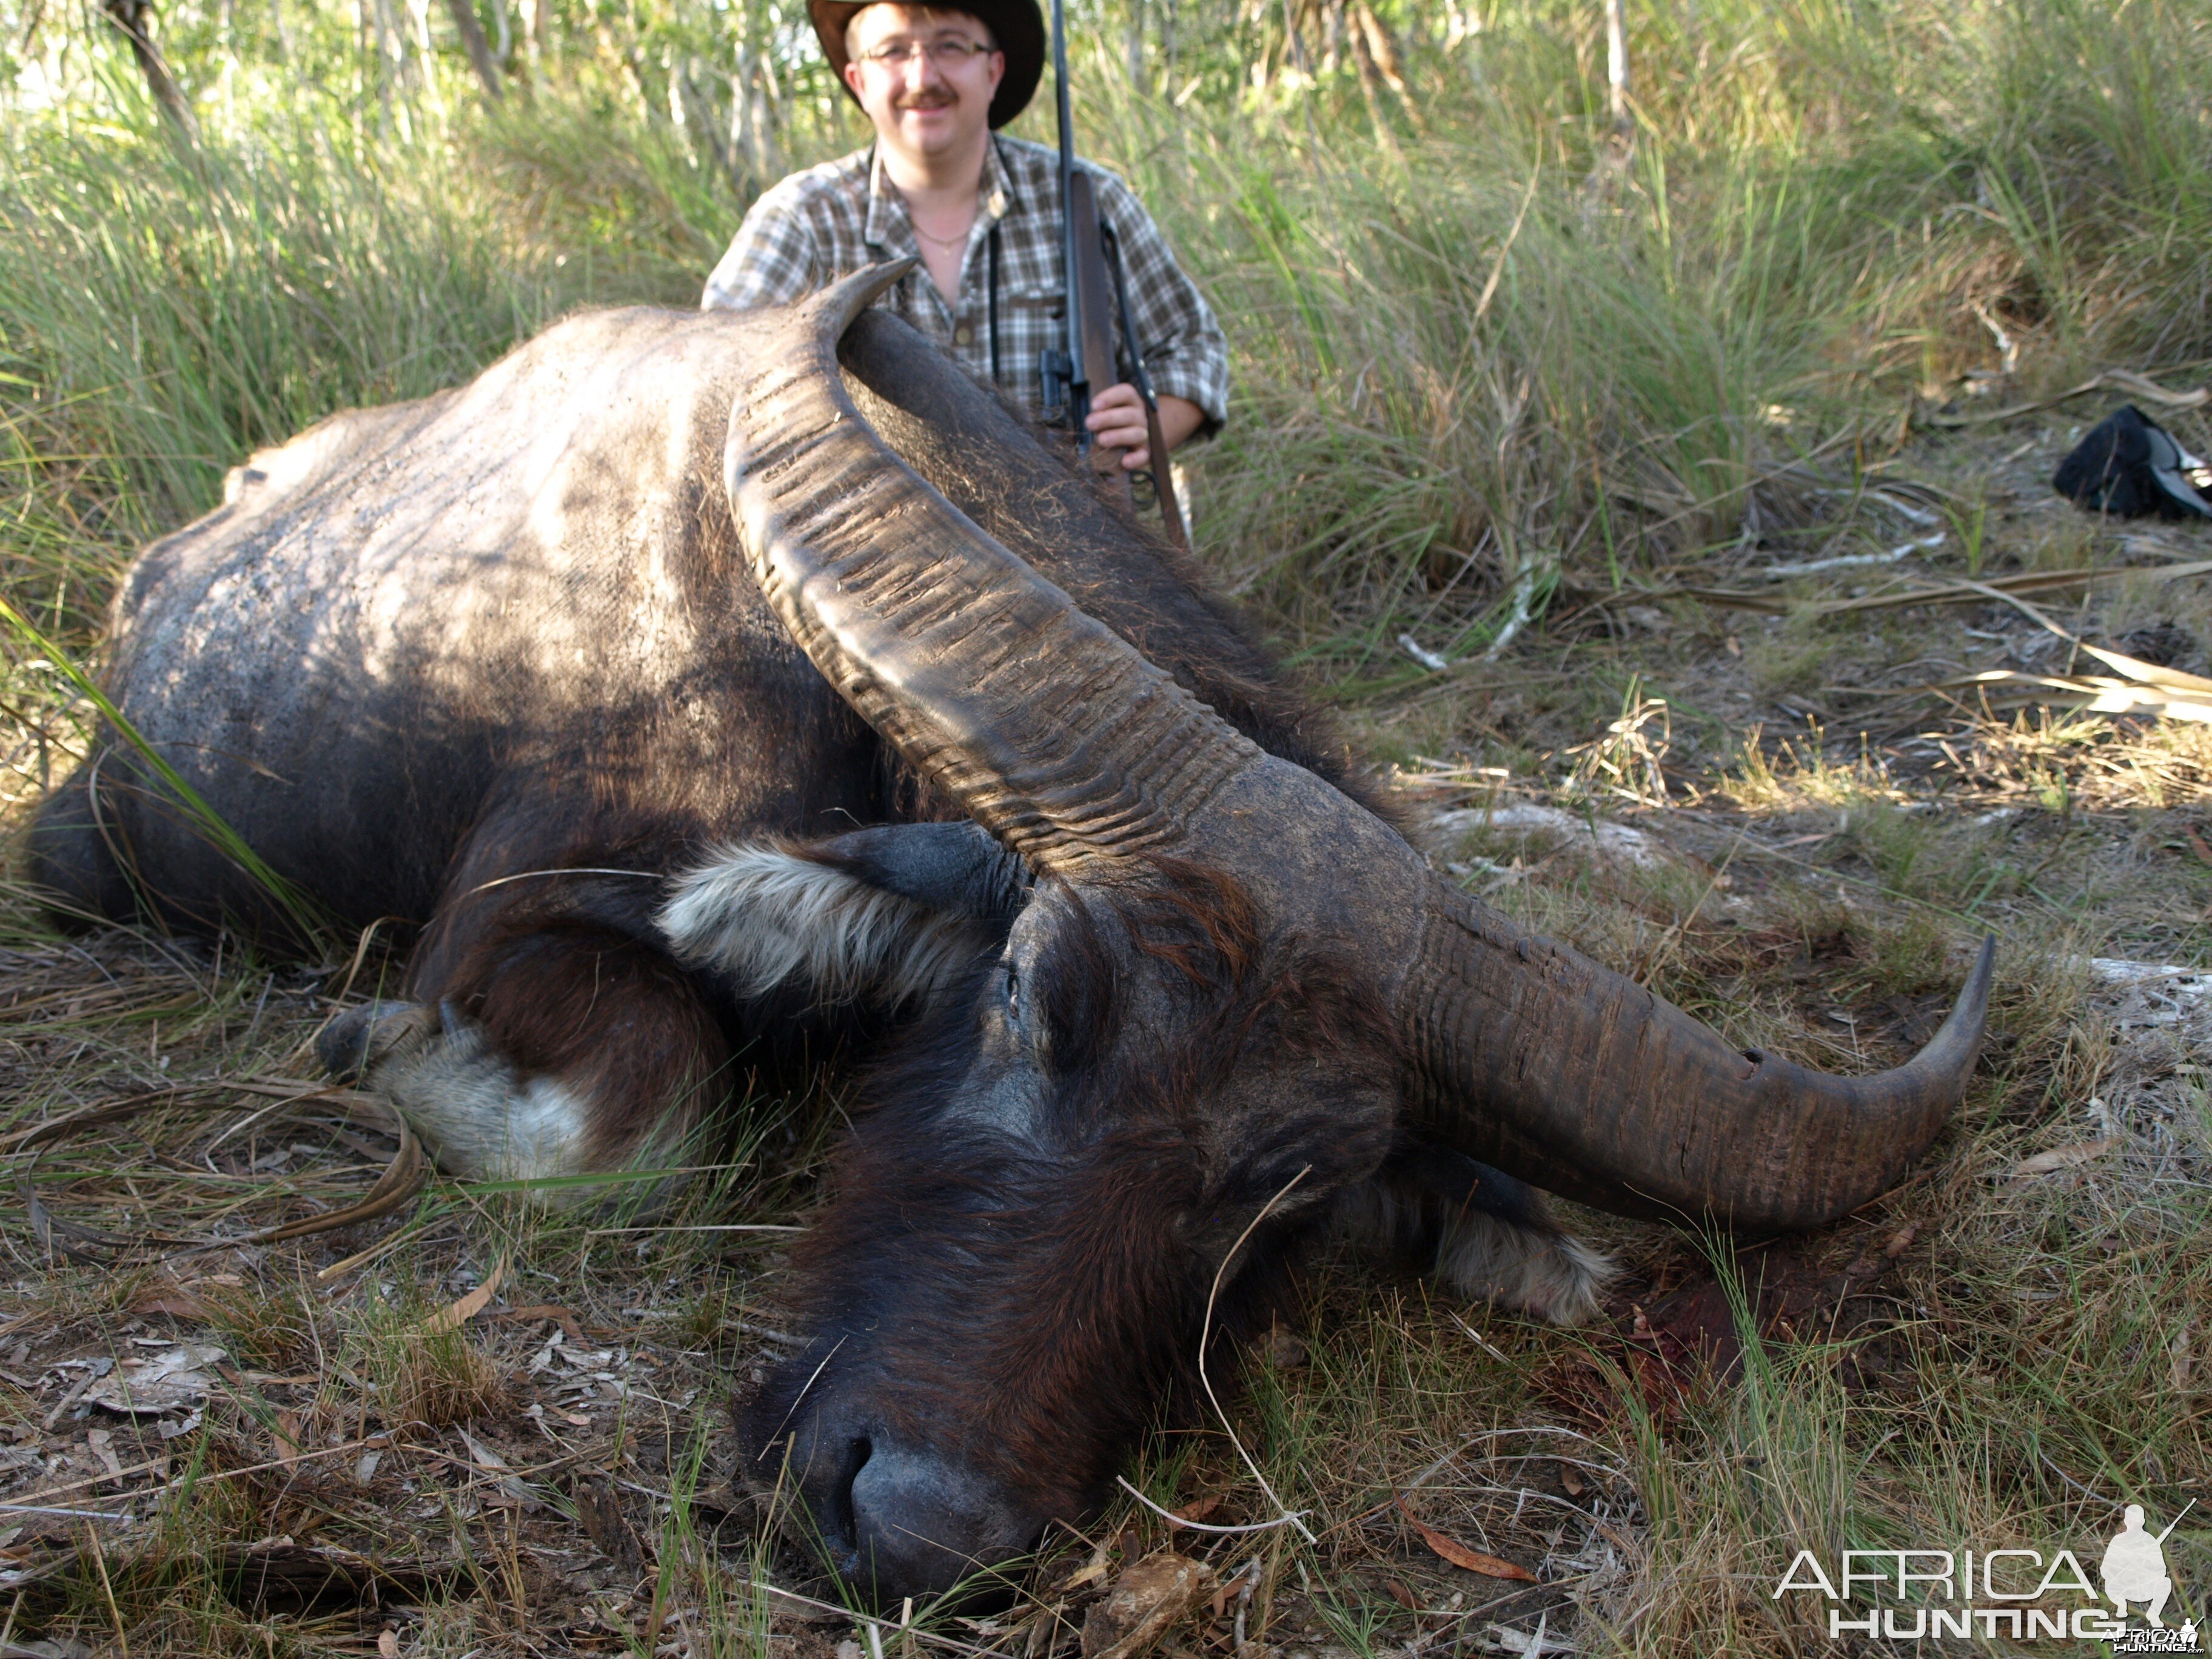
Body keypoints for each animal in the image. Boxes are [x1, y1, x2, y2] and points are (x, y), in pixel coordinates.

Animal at [30, 263, 2008, 1610]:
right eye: (1032, 1003)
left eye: (1291, 1202)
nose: (913, 1526)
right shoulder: (523, 903)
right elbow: (636, 1105)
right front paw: (384, 1053)